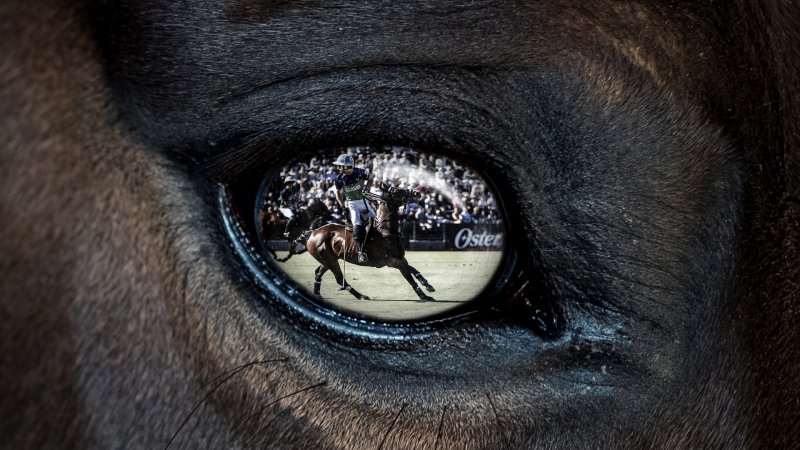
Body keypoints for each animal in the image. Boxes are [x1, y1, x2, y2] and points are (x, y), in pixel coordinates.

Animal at [305, 186, 436, 301]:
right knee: (339, 279)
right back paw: (361, 296)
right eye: (395, 190)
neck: (386, 231)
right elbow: (410, 269)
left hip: (328, 259)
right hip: (330, 261)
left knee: (318, 273)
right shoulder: (390, 261)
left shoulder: (401, 259)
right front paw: (427, 284)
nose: (417, 193)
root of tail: (314, 232)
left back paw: (317, 295)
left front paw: (424, 295)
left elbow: (410, 276)